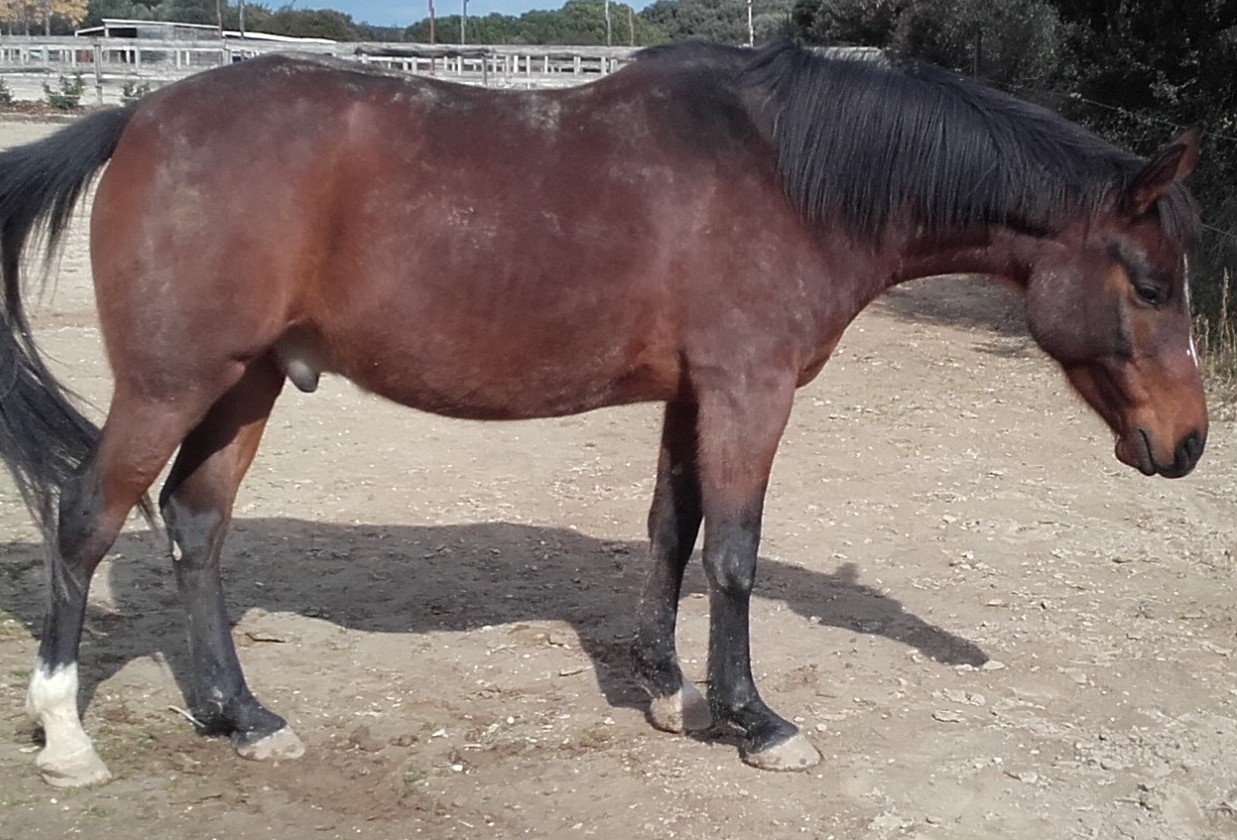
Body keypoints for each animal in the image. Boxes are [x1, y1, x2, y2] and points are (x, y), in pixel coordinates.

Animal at [0, 39, 1204, 786]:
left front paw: (669, 691)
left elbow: (672, 532)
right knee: (87, 520)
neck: (784, 174)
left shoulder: (693, 395)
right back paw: (65, 736)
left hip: (244, 384)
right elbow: (733, 556)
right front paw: (754, 721)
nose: (1188, 443)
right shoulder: (748, 391)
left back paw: (240, 718)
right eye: (1150, 284)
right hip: (170, 385)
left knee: (195, 527)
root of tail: (137, 113)